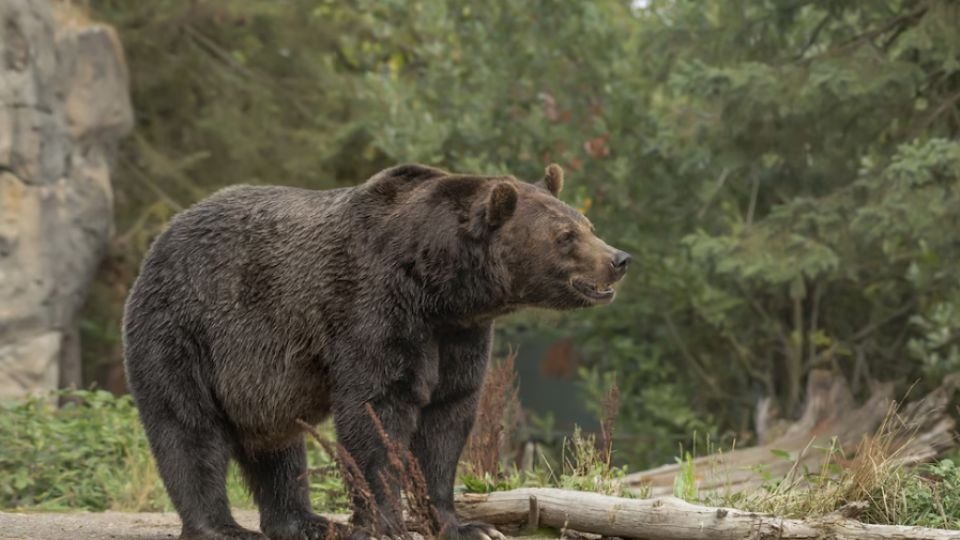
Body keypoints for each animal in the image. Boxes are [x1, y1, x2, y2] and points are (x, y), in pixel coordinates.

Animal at [123, 163, 630, 540]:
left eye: (588, 225)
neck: (438, 287)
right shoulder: (373, 308)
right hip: (186, 329)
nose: (618, 259)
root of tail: (161, 238)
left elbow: (447, 418)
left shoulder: (458, 336)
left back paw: (305, 521)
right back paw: (222, 526)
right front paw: (385, 519)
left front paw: (464, 523)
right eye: (565, 236)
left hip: (258, 380)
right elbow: (376, 411)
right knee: (188, 429)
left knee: (278, 447)